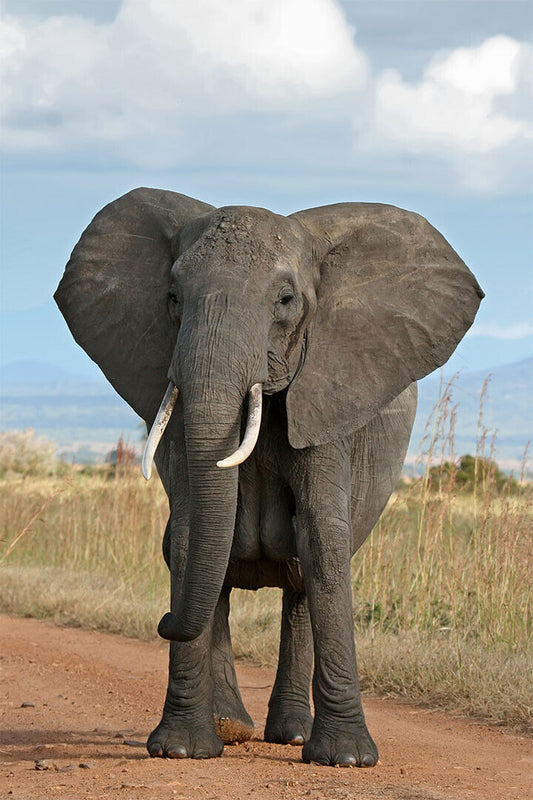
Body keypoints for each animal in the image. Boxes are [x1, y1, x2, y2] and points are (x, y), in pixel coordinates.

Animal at [55, 188, 483, 767]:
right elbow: (188, 537)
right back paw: (231, 728)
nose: (161, 622)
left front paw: (347, 760)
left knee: (302, 575)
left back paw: (293, 737)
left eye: (285, 300)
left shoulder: (329, 390)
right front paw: (181, 750)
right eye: (172, 297)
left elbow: (323, 538)